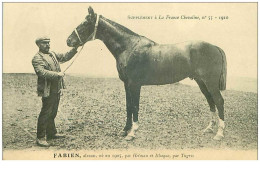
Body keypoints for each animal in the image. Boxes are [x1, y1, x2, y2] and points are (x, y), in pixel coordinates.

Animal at [67, 6, 228, 140]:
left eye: (85, 23)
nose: (68, 41)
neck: (128, 47)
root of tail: (215, 47)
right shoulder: (126, 84)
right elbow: (128, 106)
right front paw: (124, 130)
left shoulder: (135, 84)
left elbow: (135, 106)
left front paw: (132, 133)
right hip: (202, 82)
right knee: (211, 101)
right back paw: (209, 128)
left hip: (210, 82)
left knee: (219, 101)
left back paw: (219, 133)